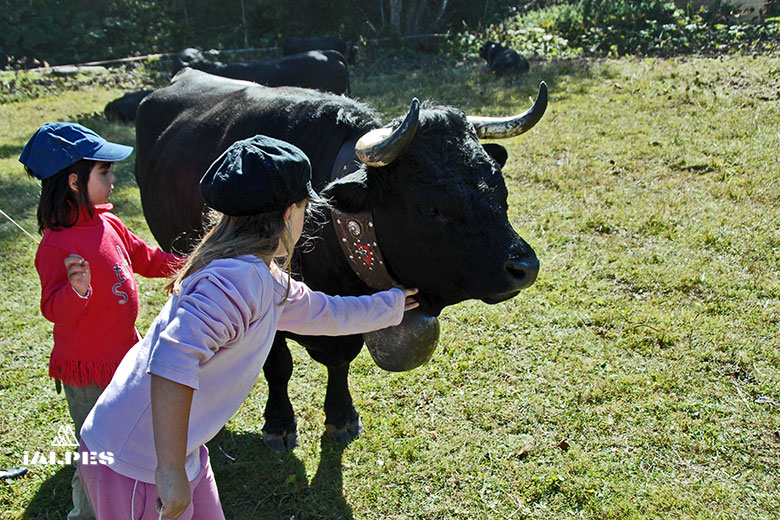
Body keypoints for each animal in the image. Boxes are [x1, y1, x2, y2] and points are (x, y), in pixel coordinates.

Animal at [135, 68, 546, 450]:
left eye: (500, 190)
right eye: (431, 208)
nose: (524, 267)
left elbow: (340, 362)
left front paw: (341, 415)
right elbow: (278, 366)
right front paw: (279, 423)